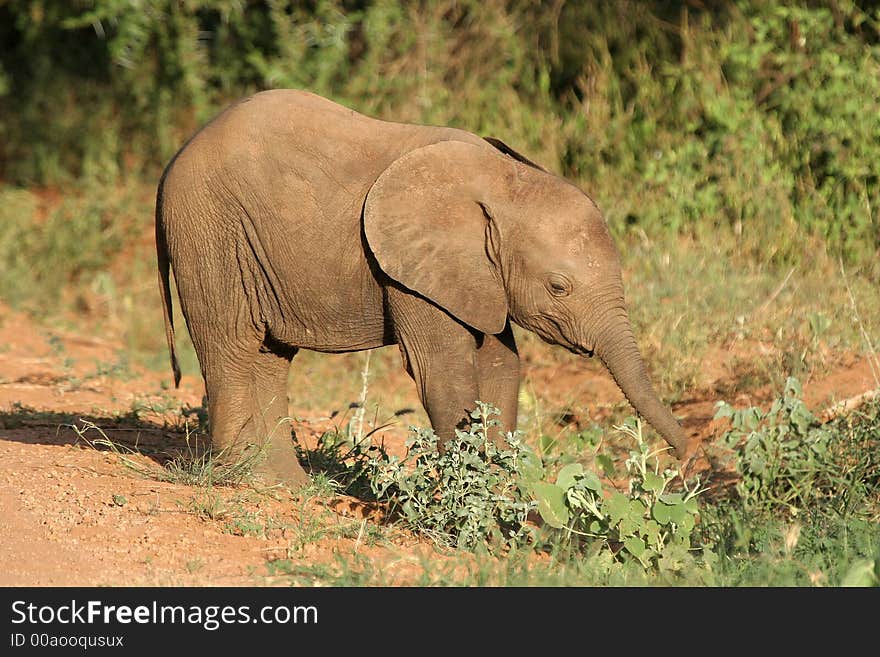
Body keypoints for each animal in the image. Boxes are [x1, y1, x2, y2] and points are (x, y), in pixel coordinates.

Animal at [155, 89, 696, 484]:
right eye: (559, 287)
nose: (689, 460)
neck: (505, 181)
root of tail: (174, 158)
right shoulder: (408, 268)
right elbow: (445, 373)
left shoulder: (476, 275)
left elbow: (502, 368)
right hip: (211, 232)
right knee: (231, 345)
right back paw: (239, 481)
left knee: (269, 357)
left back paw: (285, 487)